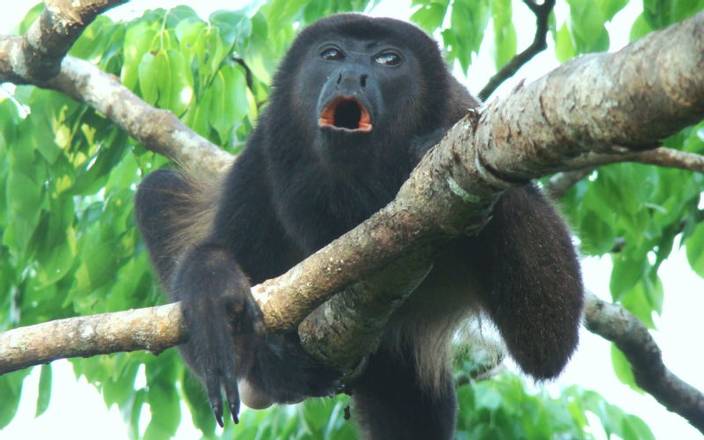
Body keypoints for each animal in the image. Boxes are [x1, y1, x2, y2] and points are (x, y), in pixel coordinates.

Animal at [136, 13, 584, 440]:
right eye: (332, 55)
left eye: (388, 59)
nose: (351, 75)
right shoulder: (260, 159)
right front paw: (213, 293)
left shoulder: (458, 108)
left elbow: (548, 340)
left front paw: (442, 150)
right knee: (156, 190)